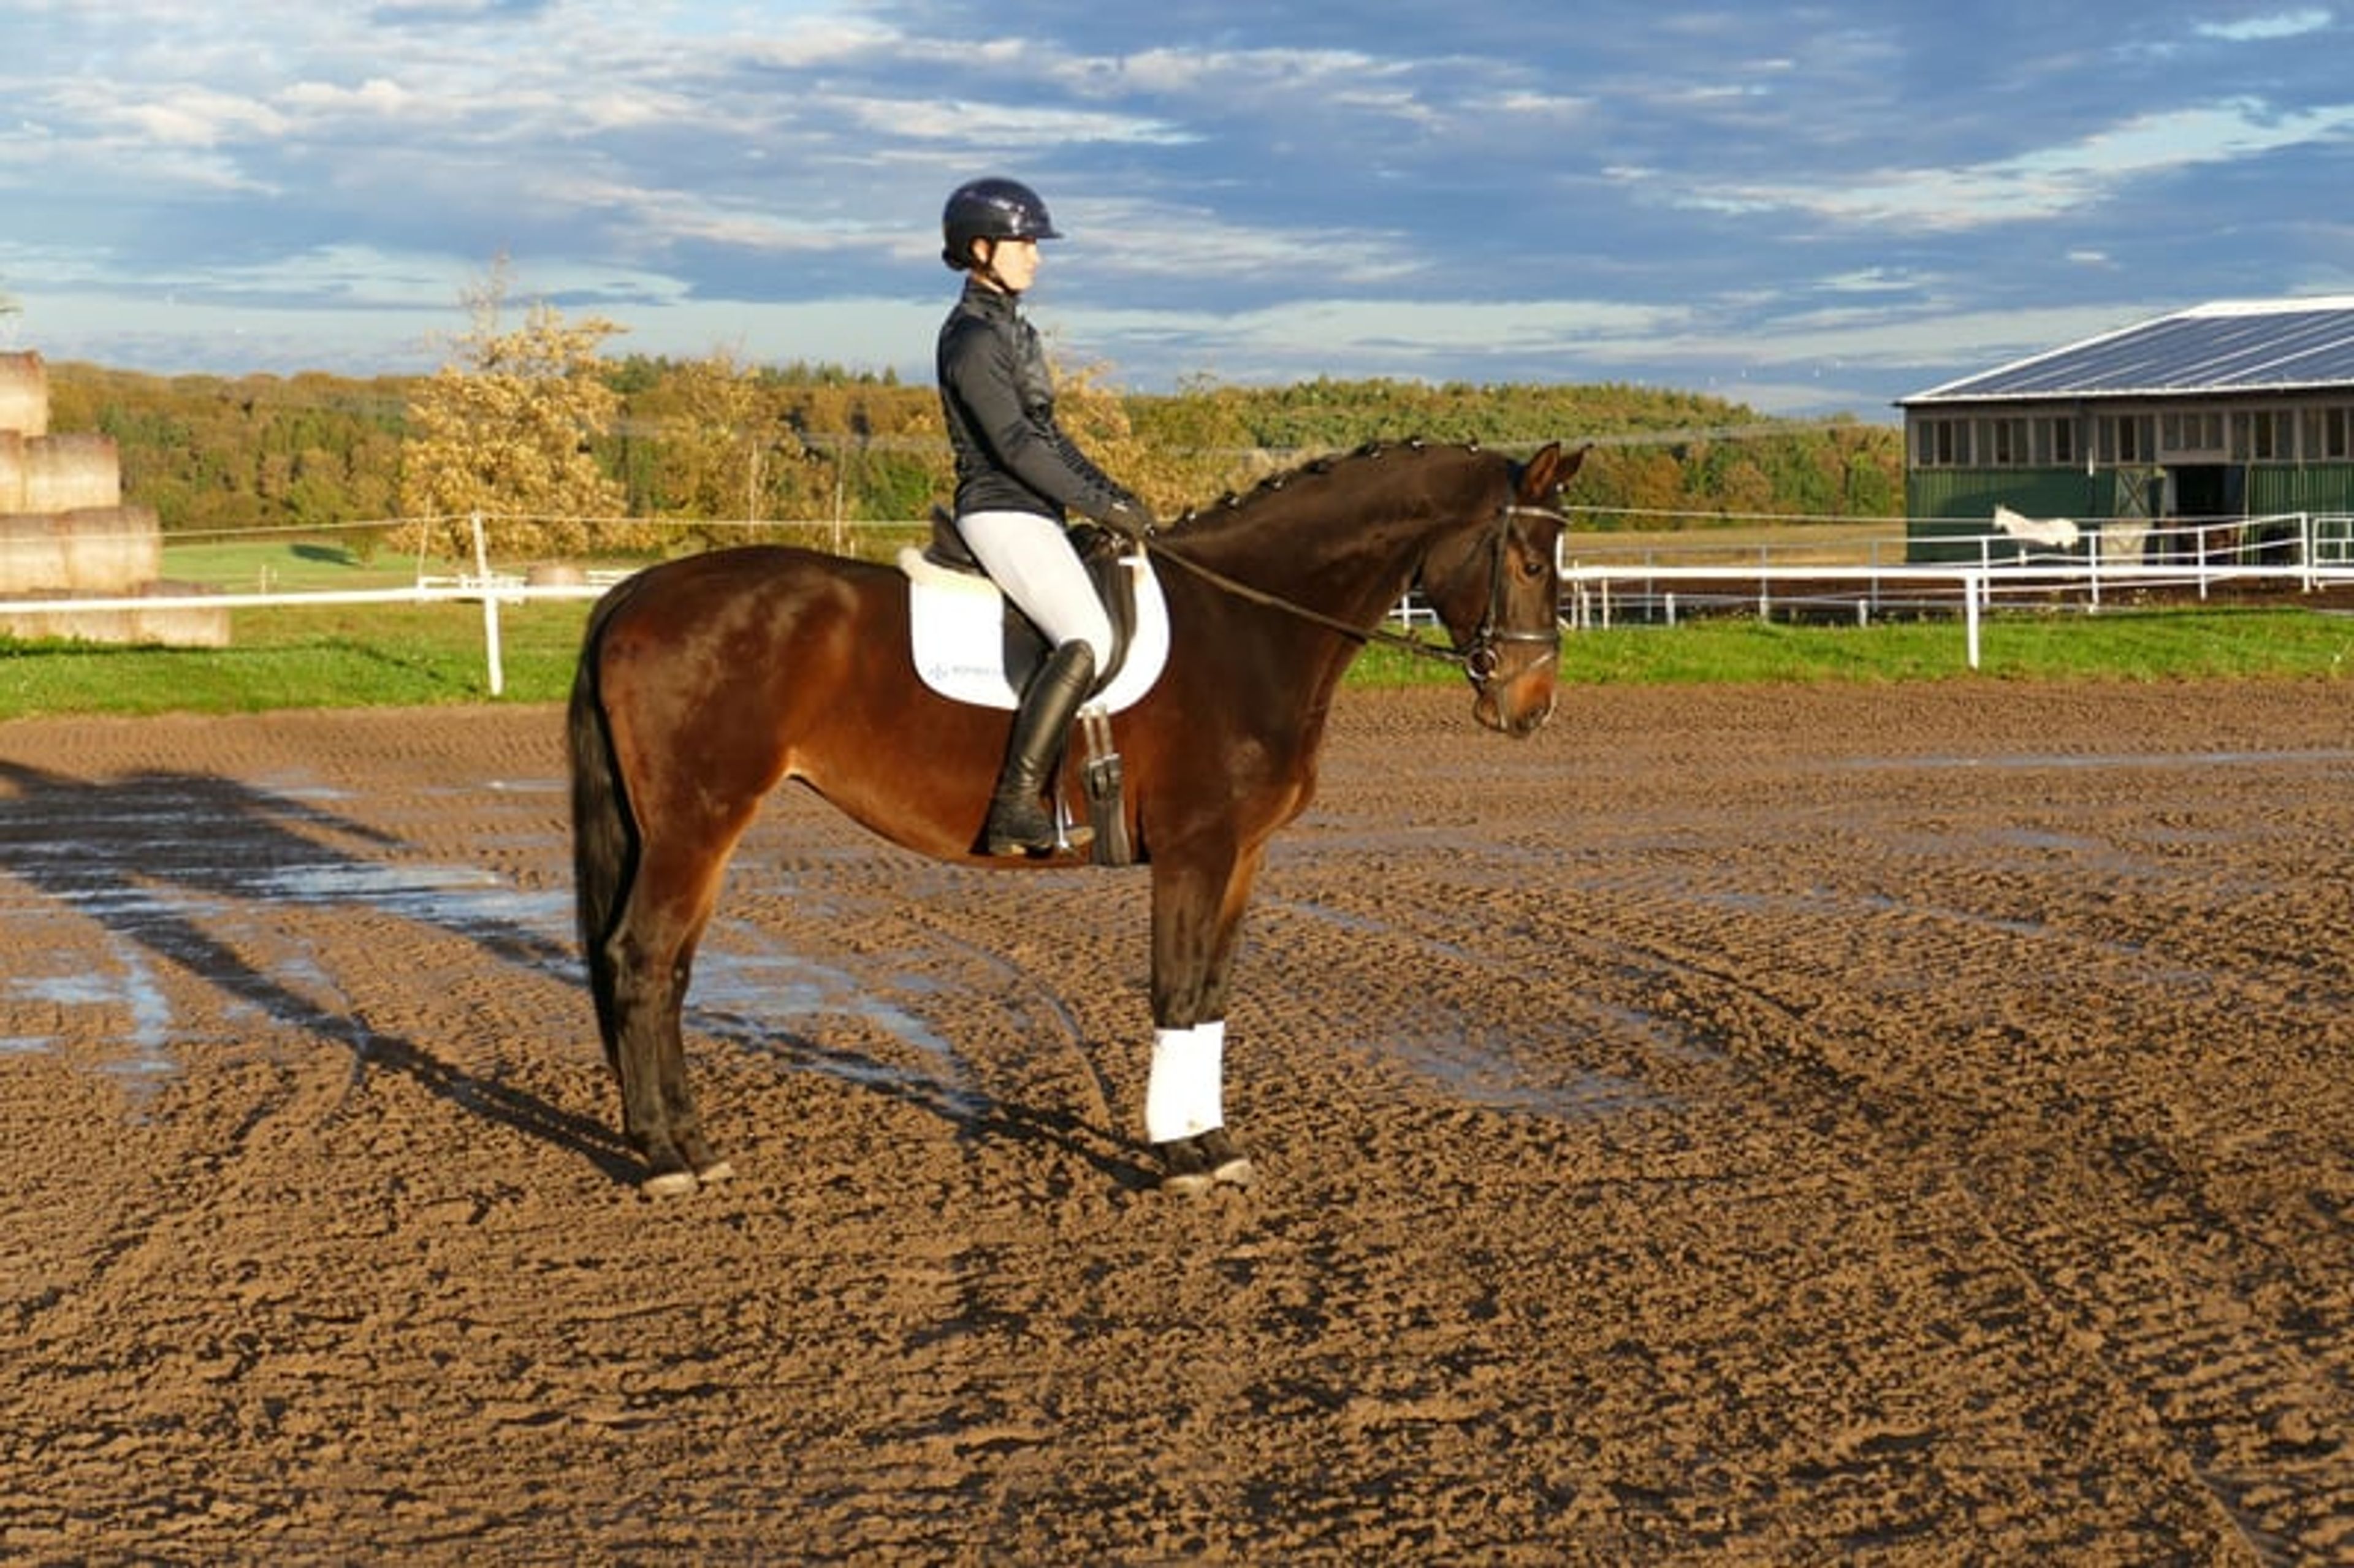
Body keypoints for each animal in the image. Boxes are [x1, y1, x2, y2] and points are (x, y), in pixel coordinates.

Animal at [568, 439, 1583, 1196]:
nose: (1529, 709)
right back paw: (665, 1156)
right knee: (643, 959)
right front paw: (1178, 1156)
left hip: (693, 829)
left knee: (671, 969)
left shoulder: (1243, 856)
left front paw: (1215, 1144)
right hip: (698, 823)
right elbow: (1176, 991)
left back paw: (691, 1143)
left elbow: (1213, 997)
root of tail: (640, 589)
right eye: (1532, 561)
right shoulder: (1195, 850)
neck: (1248, 625)